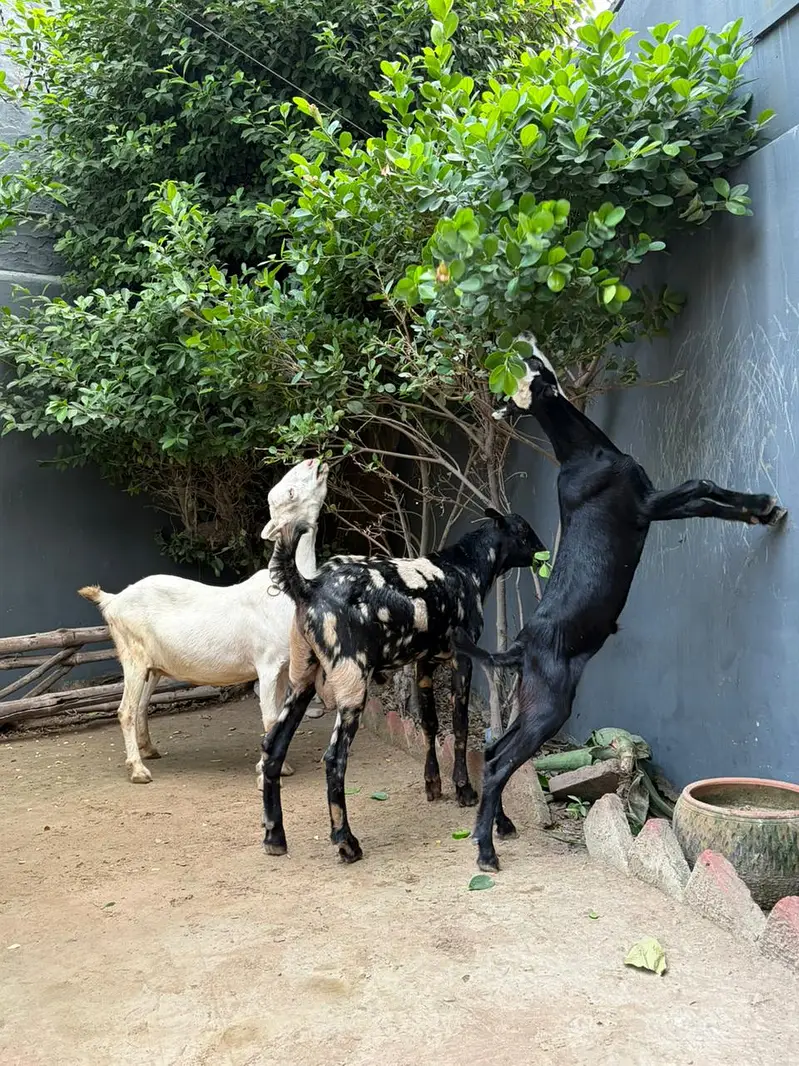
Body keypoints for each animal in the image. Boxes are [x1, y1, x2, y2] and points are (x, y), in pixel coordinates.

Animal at [78, 458, 329, 783]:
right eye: (290, 493)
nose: (314, 461)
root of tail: (112, 600)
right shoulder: (267, 664)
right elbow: (270, 716)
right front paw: (266, 770)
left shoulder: (285, 666)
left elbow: (279, 719)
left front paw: (280, 765)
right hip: (132, 655)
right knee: (126, 710)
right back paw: (138, 769)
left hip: (152, 665)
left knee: (142, 705)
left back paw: (149, 750)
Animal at [261, 510, 545, 863]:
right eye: (523, 531)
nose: (543, 551)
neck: (464, 567)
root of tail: (308, 586)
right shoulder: (461, 660)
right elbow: (460, 726)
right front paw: (463, 788)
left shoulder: (424, 663)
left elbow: (429, 723)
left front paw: (433, 783)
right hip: (352, 687)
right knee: (334, 759)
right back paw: (346, 842)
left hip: (302, 682)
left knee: (273, 747)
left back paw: (274, 836)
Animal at [456, 340, 787, 872]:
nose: (523, 346)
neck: (583, 455)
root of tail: (521, 646)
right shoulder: (647, 505)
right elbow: (700, 487)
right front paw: (762, 505)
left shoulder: (653, 504)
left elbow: (703, 495)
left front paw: (760, 509)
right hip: (550, 708)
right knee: (499, 763)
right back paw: (485, 849)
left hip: (533, 703)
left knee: (491, 754)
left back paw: (500, 825)